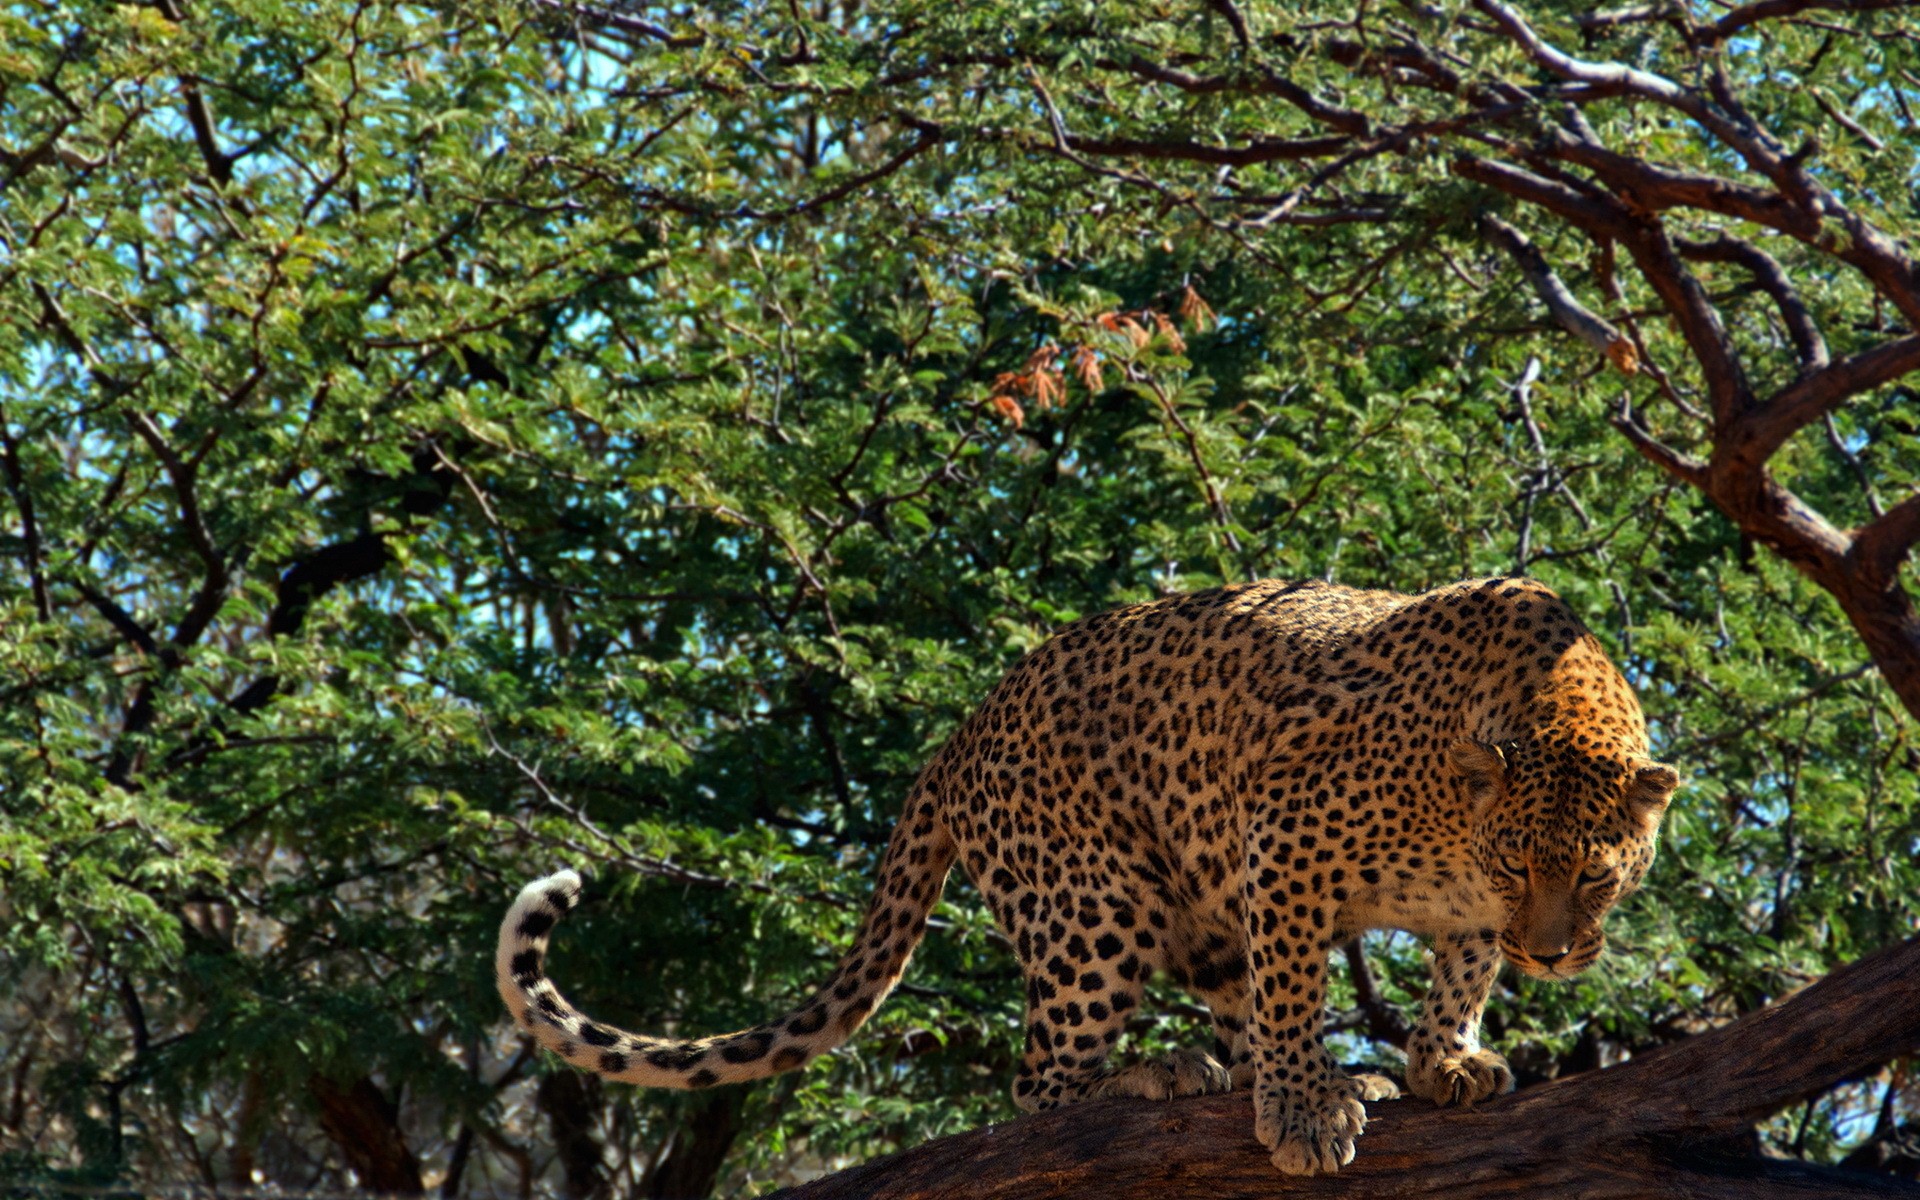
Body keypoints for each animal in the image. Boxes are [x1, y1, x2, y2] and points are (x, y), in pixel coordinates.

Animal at [497, 576, 1678, 1176]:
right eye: (1519, 859)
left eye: (1599, 878)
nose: (1552, 952)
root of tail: (959, 733)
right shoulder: (1286, 841)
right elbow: (1301, 991)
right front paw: (1307, 1111)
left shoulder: (1460, 912)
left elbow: (1460, 974)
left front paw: (1444, 1060)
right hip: (1093, 909)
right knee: (1038, 1088)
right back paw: (1157, 1076)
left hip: (1191, 912)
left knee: (1218, 1009)